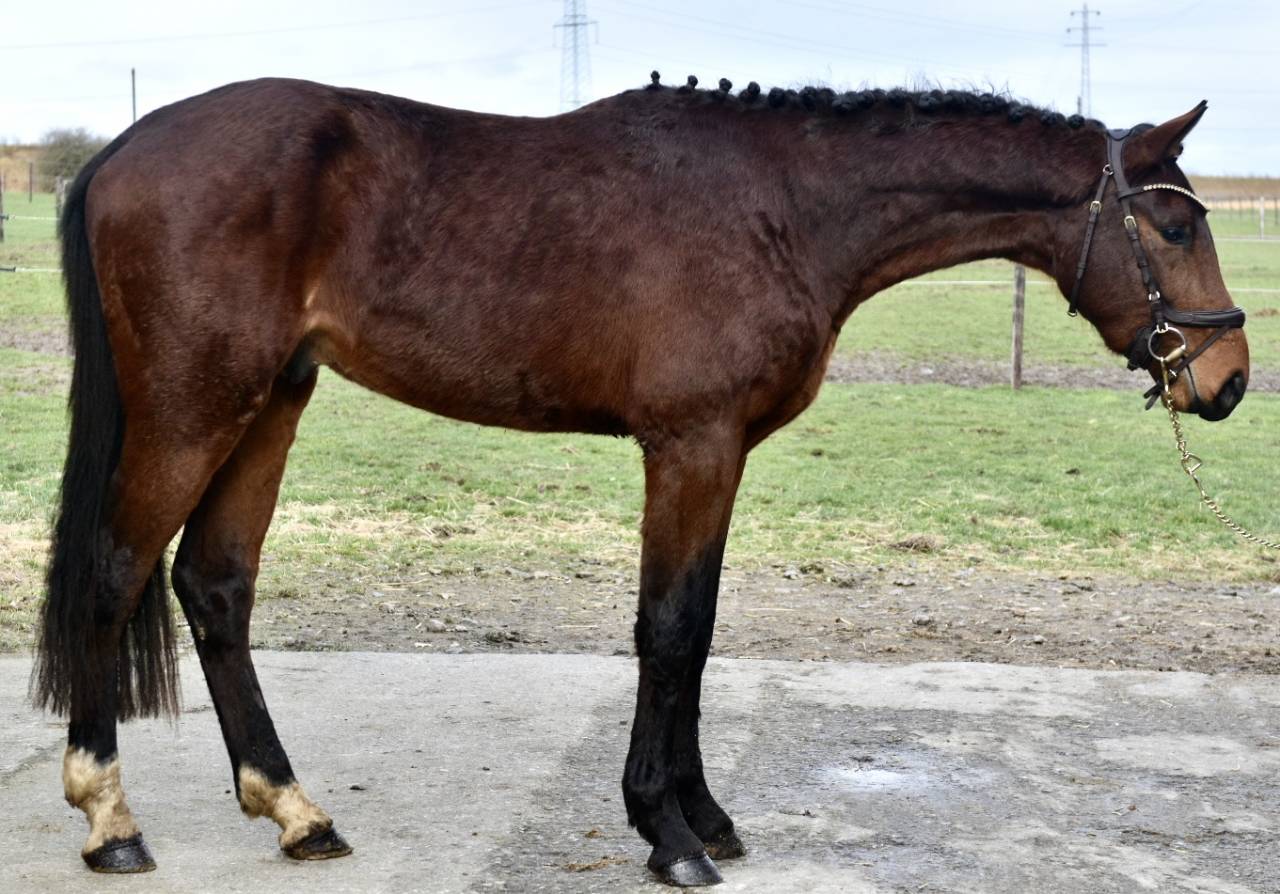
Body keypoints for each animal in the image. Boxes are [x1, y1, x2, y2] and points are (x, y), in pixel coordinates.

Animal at [31, 75, 1248, 886]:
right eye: (1172, 220)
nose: (1229, 378)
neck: (782, 205)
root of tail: (126, 148)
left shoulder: (721, 453)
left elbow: (696, 630)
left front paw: (701, 816)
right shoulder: (689, 446)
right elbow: (666, 630)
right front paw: (666, 835)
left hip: (272, 401)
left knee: (215, 586)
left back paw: (295, 811)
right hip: (194, 409)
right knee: (111, 575)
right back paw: (110, 820)